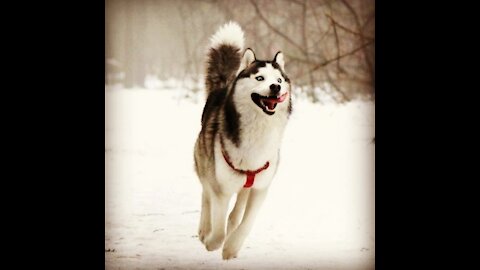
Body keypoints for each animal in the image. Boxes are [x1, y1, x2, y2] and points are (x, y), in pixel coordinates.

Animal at [194, 22, 292, 260]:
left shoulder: (260, 188)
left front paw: (231, 248)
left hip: (246, 187)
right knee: (206, 196)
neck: (258, 130)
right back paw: (204, 230)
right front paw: (212, 242)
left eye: (279, 80)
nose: (275, 87)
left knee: (235, 214)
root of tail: (224, 86)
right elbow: (218, 226)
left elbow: (246, 223)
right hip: (205, 164)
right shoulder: (221, 187)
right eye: (260, 78)